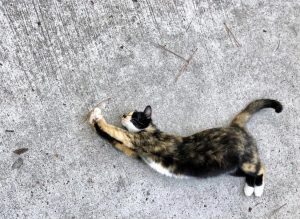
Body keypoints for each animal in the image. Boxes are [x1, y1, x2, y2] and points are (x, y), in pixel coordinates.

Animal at [88, 99, 282, 197]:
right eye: (127, 113)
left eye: (135, 116)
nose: (123, 115)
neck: (148, 130)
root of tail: (235, 127)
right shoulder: (132, 151)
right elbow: (110, 138)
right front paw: (95, 120)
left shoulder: (137, 140)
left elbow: (115, 131)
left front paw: (97, 117)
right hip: (232, 170)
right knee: (253, 172)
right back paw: (250, 188)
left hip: (245, 162)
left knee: (261, 168)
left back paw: (257, 189)